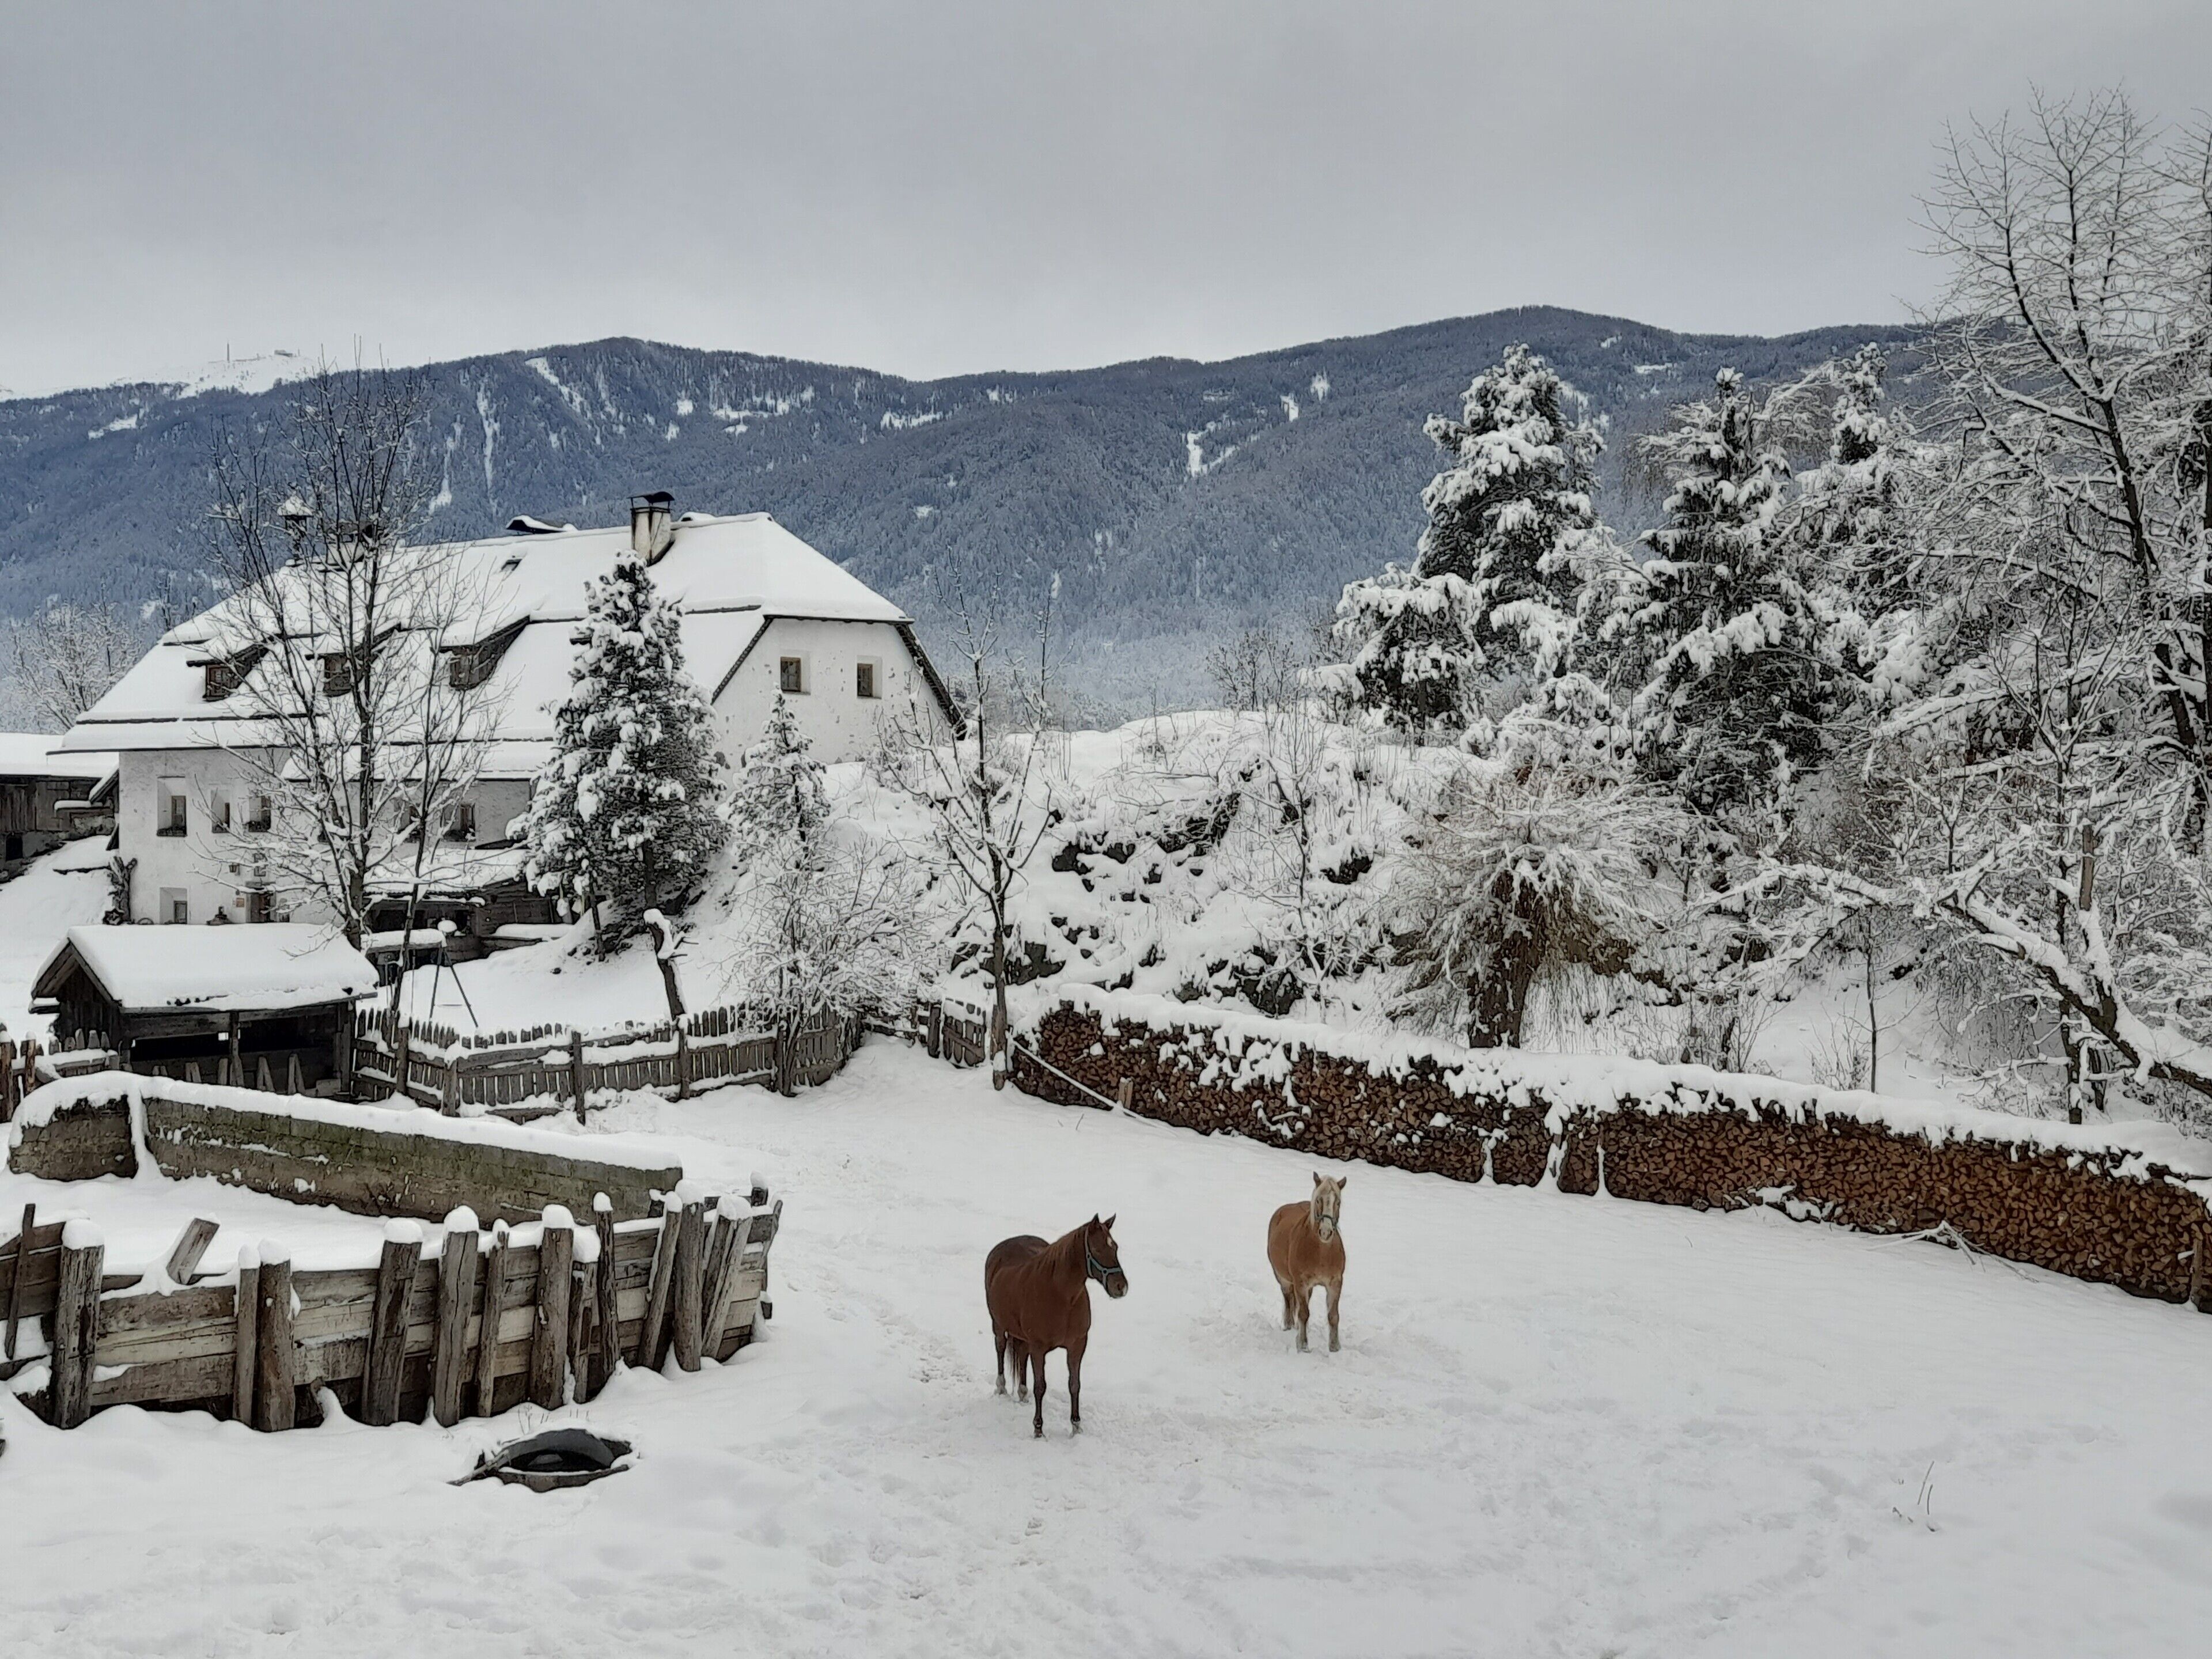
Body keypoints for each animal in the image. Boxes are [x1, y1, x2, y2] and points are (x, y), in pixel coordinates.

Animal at [984, 1214, 1128, 1438]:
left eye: (1115, 1248)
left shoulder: (1077, 1345)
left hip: (1022, 1337)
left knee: (1021, 1355)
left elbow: (1075, 1385)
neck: (1061, 1296)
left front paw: (1076, 1427)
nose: (1121, 1287)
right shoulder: (1038, 1348)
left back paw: (1023, 1394)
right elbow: (1040, 1386)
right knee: (1000, 1349)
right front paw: (1038, 1430)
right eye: (1097, 1250)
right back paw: (1001, 1389)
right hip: (998, 1325)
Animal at [1267, 1174, 1346, 1352]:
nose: (1326, 1232)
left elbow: (1334, 1316)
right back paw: (1289, 1326)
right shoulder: (1300, 1282)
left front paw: (1335, 1347)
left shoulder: (1335, 1282)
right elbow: (1304, 1313)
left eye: (1338, 1202)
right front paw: (1303, 1345)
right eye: (1318, 1200)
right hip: (1283, 1278)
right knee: (1288, 1299)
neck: (1321, 1253)